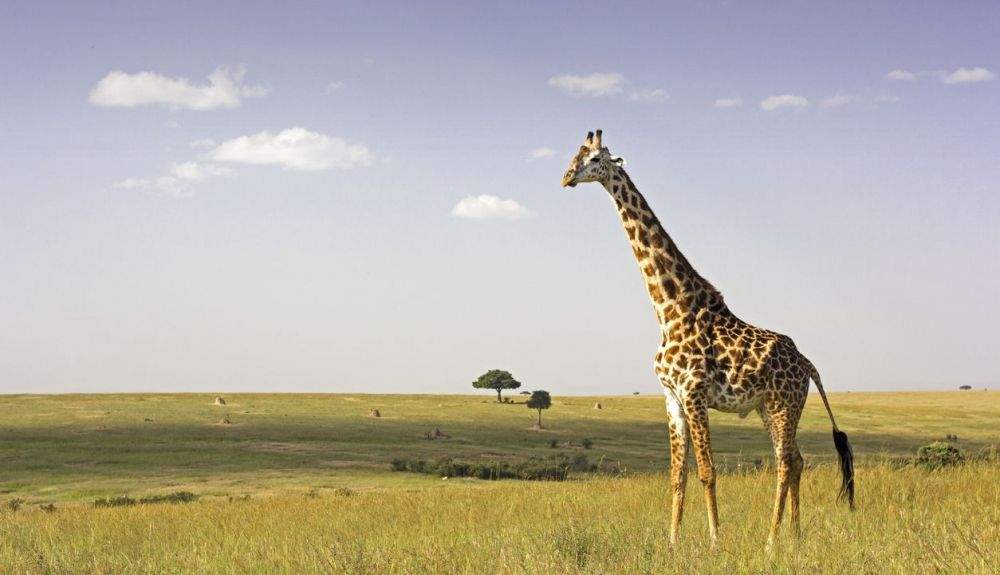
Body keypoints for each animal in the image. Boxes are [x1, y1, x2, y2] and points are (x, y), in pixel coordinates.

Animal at [561, 130, 854, 547]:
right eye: (575, 154)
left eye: (596, 158)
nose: (566, 177)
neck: (668, 309)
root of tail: (809, 365)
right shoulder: (671, 397)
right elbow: (677, 475)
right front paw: (672, 542)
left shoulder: (694, 393)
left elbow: (707, 471)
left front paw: (716, 541)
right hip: (769, 407)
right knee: (796, 460)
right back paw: (794, 536)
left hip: (784, 403)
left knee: (784, 462)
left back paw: (770, 542)